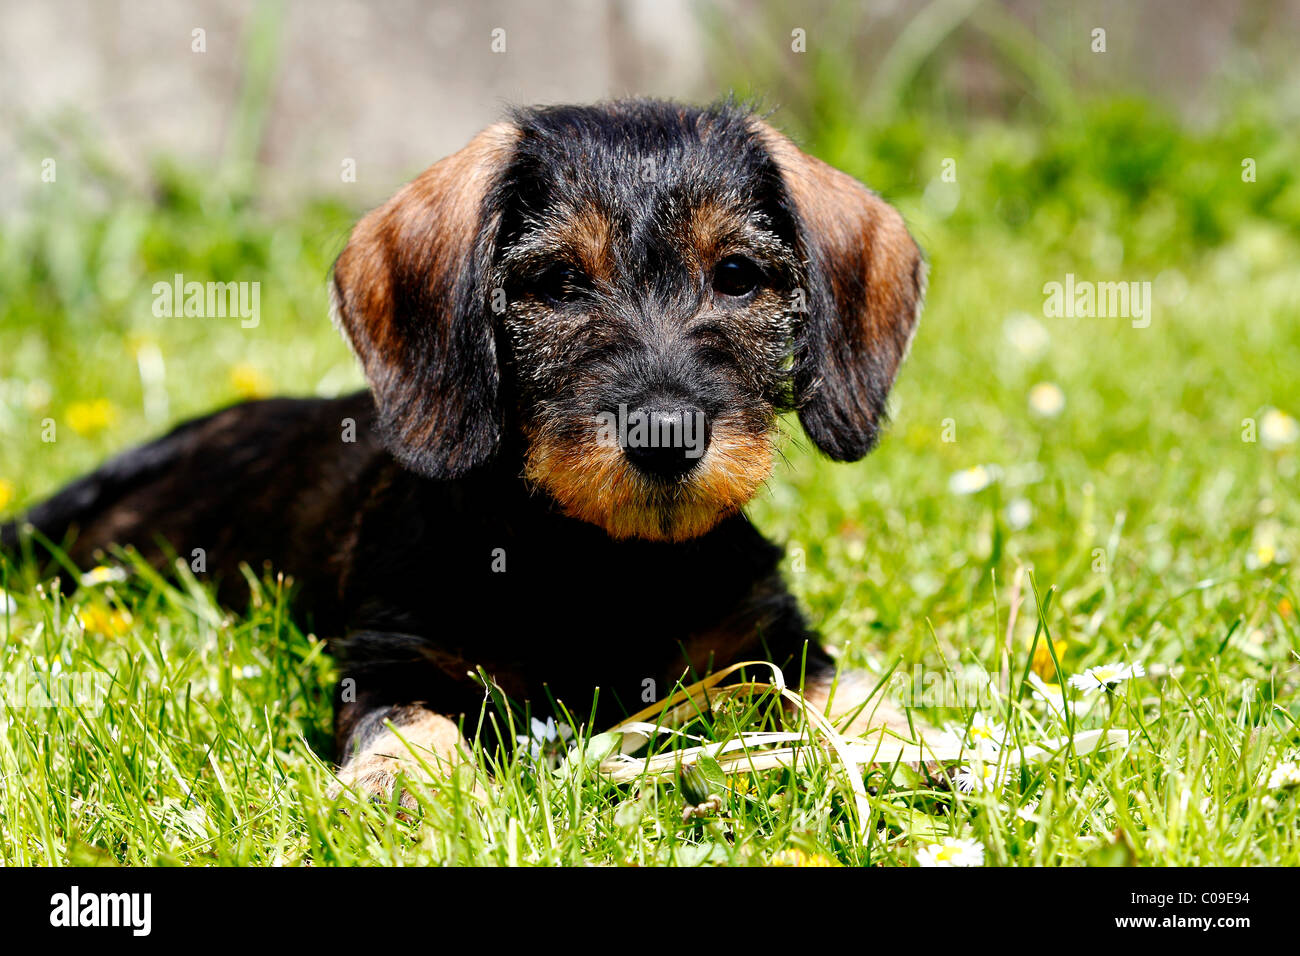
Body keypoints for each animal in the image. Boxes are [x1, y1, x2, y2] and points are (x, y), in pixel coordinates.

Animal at [5, 100, 930, 806]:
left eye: (737, 275)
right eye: (556, 284)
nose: (664, 435)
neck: (603, 561)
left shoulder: (770, 641)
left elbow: (842, 694)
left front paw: (907, 747)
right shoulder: (393, 655)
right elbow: (410, 723)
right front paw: (399, 789)